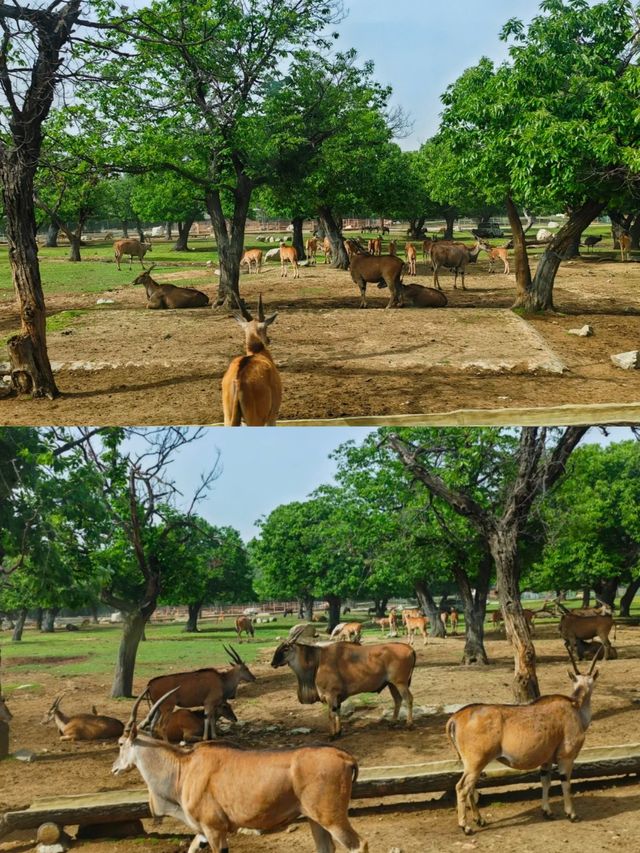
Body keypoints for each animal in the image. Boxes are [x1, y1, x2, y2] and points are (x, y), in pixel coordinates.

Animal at [112, 688, 368, 852]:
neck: (184, 769)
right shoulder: (204, 832)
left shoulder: (214, 830)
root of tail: (344, 757)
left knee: (359, 845)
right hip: (316, 820)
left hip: (332, 819)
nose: (114, 768)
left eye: (121, 743)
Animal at [221, 292, 282, 426]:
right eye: (265, 328)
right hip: (255, 420)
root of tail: (238, 382)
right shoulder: (272, 416)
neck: (258, 353)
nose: (268, 340)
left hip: (229, 418)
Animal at [270, 624, 416, 736]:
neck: (318, 660)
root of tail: (410, 649)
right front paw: (339, 732)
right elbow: (337, 712)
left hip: (400, 683)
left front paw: (332, 735)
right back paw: (393, 722)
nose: (272, 663)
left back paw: (409, 724)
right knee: (398, 700)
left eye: (286, 648)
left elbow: (331, 714)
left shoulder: (330, 694)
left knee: (408, 699)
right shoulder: (337, 696)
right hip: (392, 684)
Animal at [448, 644, 604, 836]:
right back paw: (466, 826)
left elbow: (545, 781)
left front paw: (547, 811)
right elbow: (565, 783)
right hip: (476, 763)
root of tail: (456, 717)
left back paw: (480, 820)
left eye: (590, 682)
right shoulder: (566, 758)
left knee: (469, 788)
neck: (574, 706)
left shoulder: (546, 761)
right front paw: (572, 814)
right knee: (462, 788)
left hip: (473, 765)